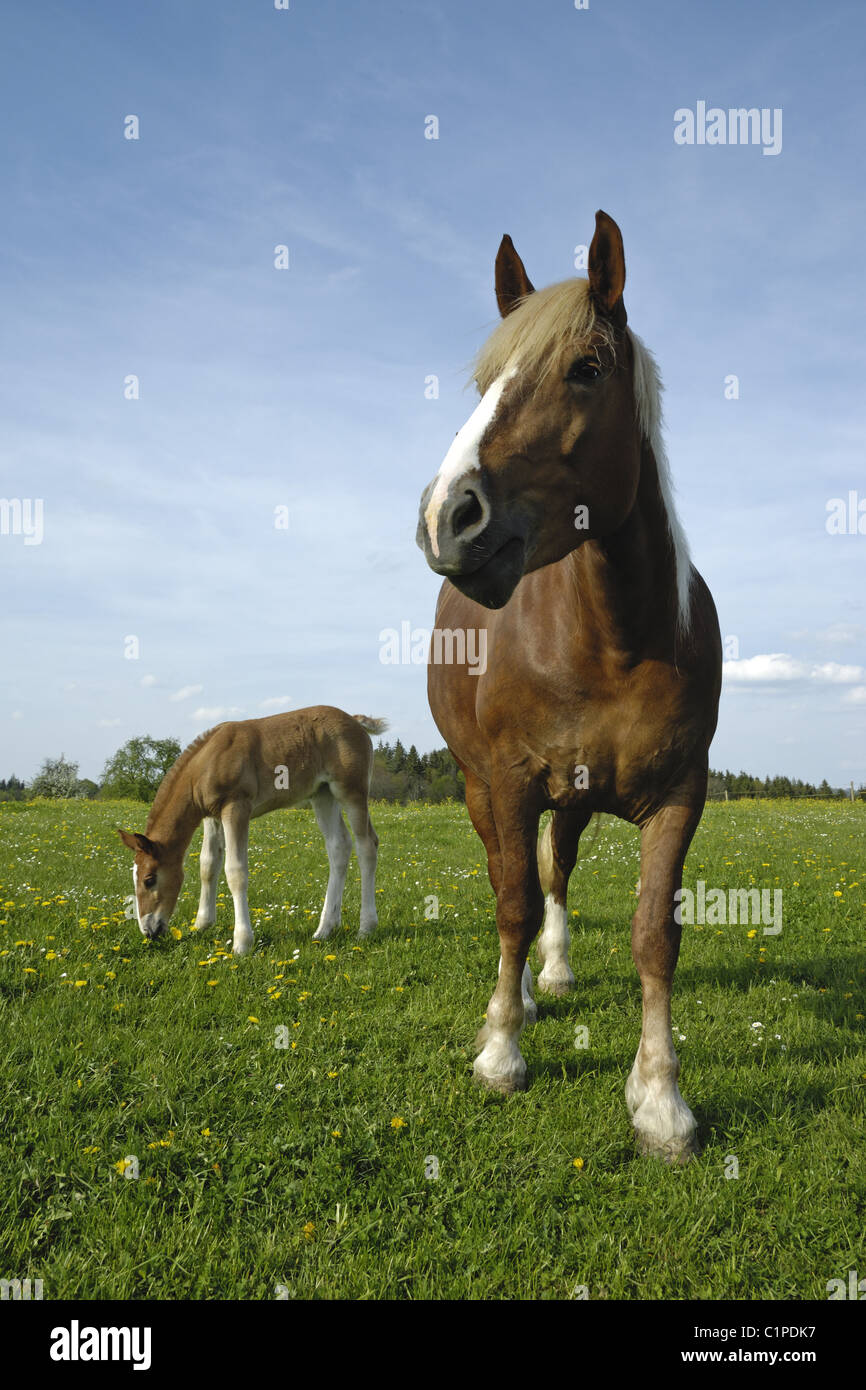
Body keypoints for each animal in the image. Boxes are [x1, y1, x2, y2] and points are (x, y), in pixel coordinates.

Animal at [117, 706, 386, 956]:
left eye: (149, 879)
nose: (149, 931)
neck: (207, 762)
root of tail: (354, 720)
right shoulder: (212, 817)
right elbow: (208, 865)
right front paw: (202, 924)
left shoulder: (236, 807)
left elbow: (235, 871)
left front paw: (242, 942)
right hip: (323, 795)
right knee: (339, 846)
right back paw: (325, 929)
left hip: (350, 790)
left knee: (366, 845)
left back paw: (366, 928)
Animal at [417, 208, 722, 1162]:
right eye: (485, 380)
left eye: (586, 369)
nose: (448, 516)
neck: (612, 641)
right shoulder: (511, 780)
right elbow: (511, 901)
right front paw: (501, 1052)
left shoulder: (680, 795)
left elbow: (654, 934)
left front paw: (661, 1101)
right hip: (480, 785)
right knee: (509, 878)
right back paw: (511, 996)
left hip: (579, 795)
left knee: (558, 867)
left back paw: (551, 971)